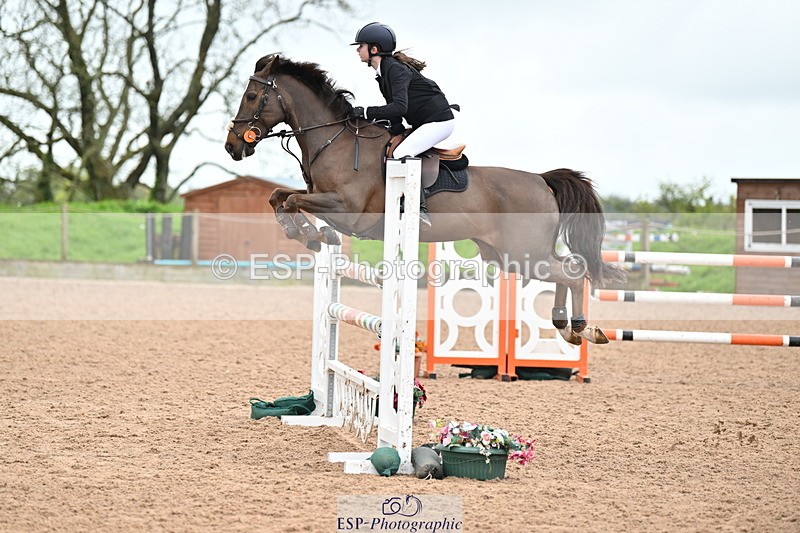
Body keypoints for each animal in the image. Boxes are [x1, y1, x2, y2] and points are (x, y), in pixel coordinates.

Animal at [224, 54, 625, 345]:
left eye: (252, 96)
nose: (232, 146)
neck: (335, 140)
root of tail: (542, 181)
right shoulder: (321, 197)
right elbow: (279, 196)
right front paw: (311, 235)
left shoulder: (348, 211)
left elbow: (292, 202)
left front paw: (311, 235)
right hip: (507, 256)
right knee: (566, 269)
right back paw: (568, 328)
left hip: (523, 253)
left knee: (574, 271)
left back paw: (580, 327)